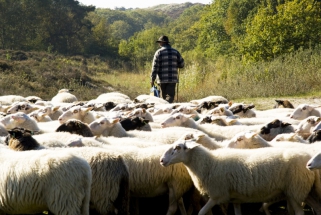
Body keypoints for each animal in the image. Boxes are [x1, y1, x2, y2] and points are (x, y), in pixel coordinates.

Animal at [160, 139, 320, 215]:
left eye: (178, 148)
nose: (161, 160)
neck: (208, 163)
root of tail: (308, 158)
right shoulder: (235, 198)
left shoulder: (217, 195)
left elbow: (201, 212)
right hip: (304, 190)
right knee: (317, 207)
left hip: (295, 190)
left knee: (300, 212)